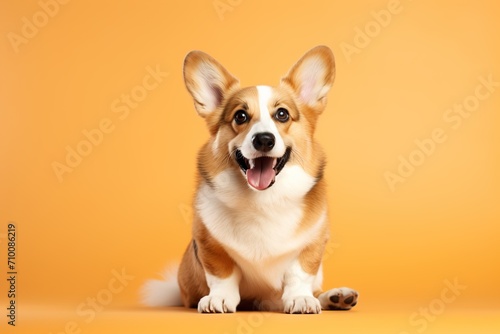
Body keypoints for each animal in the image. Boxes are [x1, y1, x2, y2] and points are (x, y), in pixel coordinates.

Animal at [143, 46, 358, 314]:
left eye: (282, 114)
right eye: (241, 116)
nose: (264, 139)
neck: (263, 200)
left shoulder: (312, 244)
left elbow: (299, 274)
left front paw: (301, 298)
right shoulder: (209, 244)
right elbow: (222, 274)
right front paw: (218, 298)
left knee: (315, 289)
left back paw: (336, 296)